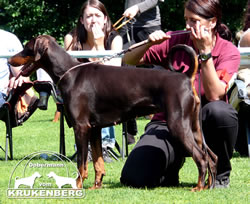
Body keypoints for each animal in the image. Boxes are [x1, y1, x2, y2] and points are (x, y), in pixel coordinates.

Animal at [8, 35, 217, 191]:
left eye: (27, 48)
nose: (9, 59)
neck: (69, 72)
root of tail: (185, 77)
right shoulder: (94, 129)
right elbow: (97, 162)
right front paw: (96, 186)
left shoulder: (81, 127)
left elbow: (81, 163)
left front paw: (77, 185)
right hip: (194, 127)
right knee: (211, 156)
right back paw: (209, 185)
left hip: (178, 124)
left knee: (201, 157)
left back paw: (198, 187)